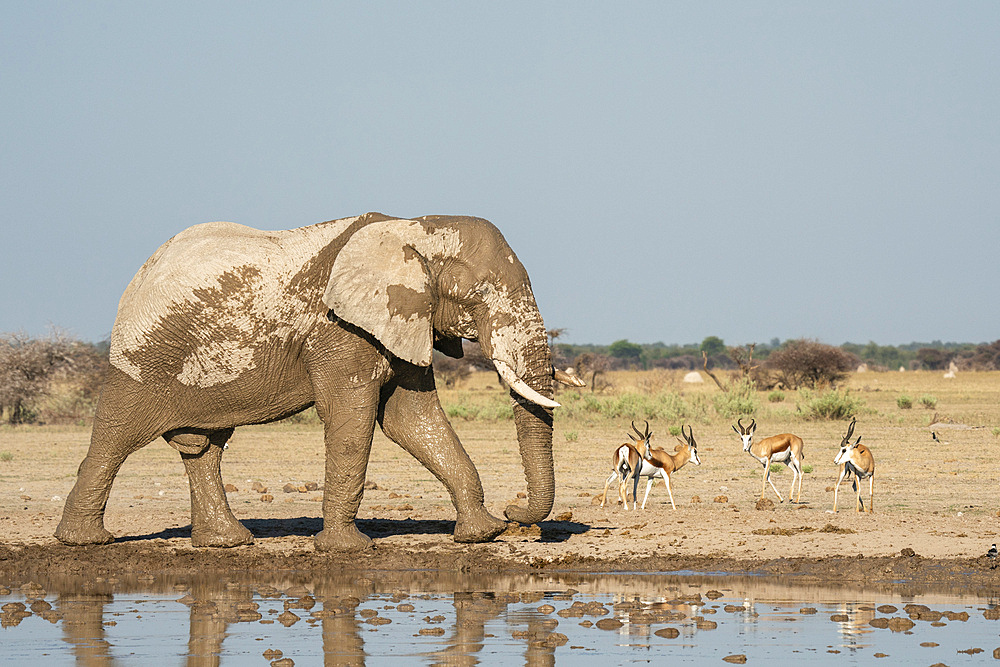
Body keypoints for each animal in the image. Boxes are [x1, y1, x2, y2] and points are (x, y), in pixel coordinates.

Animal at [56, 213, 572, 552]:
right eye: (473, 294)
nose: (515, 513)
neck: (412, 226)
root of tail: (140, 272)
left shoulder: (398, 321)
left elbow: (412, 418)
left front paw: (482, 533)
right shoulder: (339, 329)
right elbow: (353, 418)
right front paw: (347, 549)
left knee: (204, 448)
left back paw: (227, 543)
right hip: (140, 360)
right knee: (115, 437)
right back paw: (85, 542)